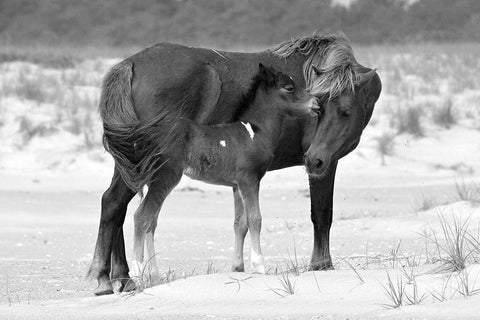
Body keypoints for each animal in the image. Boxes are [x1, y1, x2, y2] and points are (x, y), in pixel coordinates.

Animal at [88, 32, 380, 296]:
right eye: (330, 109)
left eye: (345, 112)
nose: (313, 158)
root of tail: (130, 64)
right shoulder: (326, 163)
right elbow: (321, 213)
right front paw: (321, 265)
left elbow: (241, 221)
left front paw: (240, 266)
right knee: (120, 206)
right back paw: (112, 278)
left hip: (133, 163)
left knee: (116, 205)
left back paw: (120, 279)